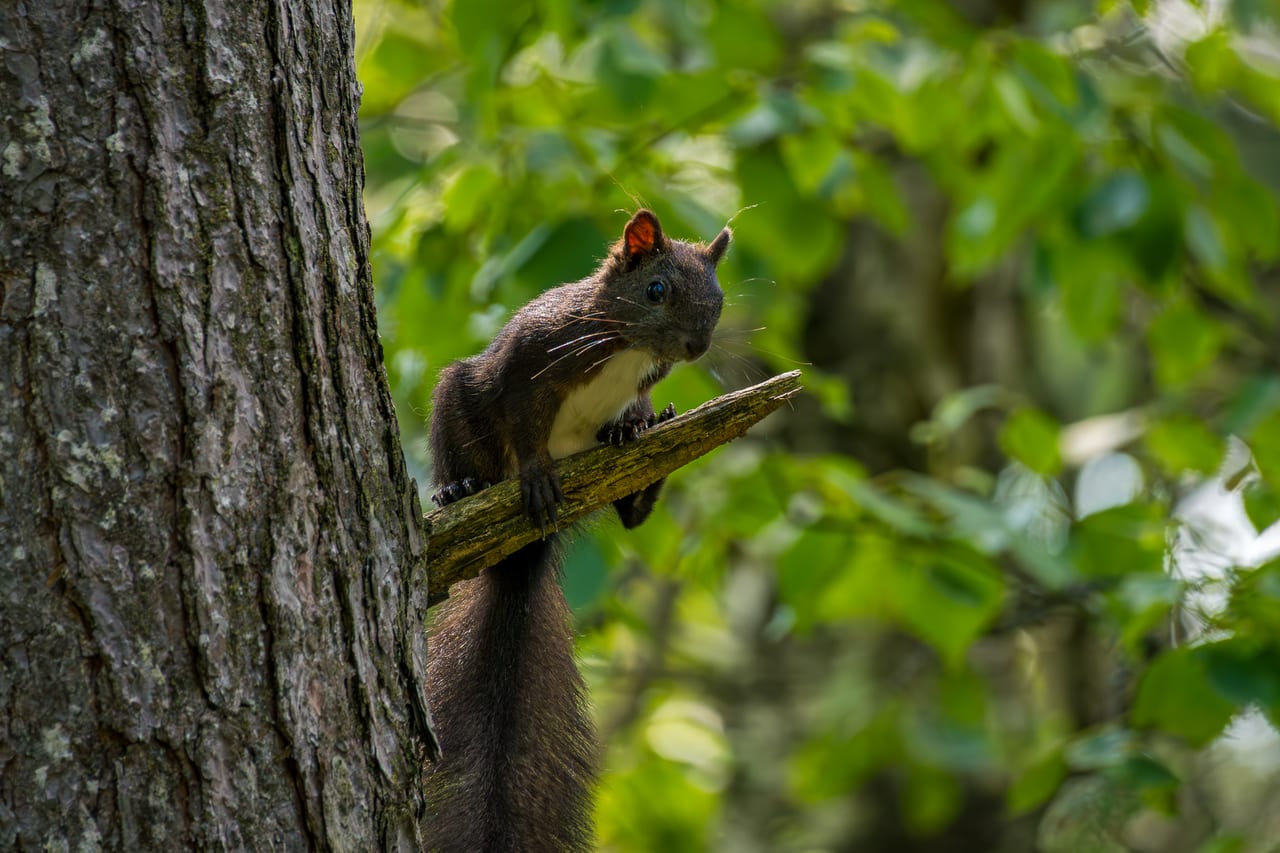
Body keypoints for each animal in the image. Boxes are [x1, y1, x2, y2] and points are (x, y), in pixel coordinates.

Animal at [424, 209, 731, 852]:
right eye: (656, 290)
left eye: (718, 300)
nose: (696, 346)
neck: (625, 347)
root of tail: (519, 551)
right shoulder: (527, 365)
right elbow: (525, 424)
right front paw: (537, 472)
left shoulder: (641, 384)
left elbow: (634, 405)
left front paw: (634, 425)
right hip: (457, 400)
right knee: (458, 442)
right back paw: (457, 490)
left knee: (628, 510)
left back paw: (645, 471)